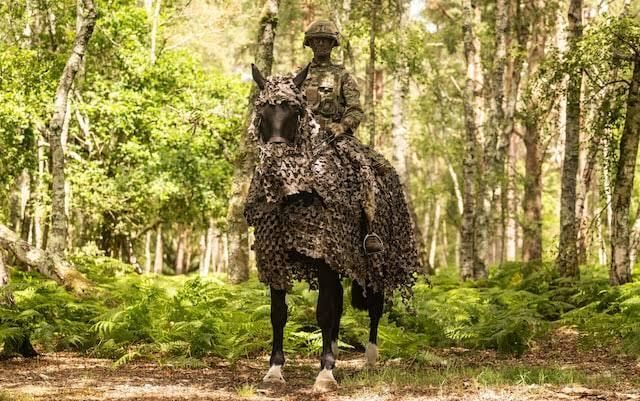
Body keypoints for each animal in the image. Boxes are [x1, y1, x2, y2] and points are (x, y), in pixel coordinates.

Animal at [244, 63, 419, 393]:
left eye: (295, 110)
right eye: (262, 109)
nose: (276, 156)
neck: (296, 192)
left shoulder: (326, 257)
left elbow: (324, 312)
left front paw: (325, 374)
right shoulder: (276, 255)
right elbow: (279, 313)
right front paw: (275, 370)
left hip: (373, 262)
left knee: (374, 306)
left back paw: (370, 359)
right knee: (339, 304)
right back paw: (336, 351)